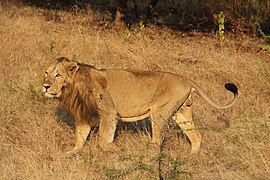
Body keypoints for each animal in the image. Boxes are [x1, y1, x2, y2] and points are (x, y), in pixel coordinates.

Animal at [43, 57, 237, 154]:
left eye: (57, 75)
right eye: (46, 73)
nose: (45, 86)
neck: (72, 89)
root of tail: (186, 79)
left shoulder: (109, 112)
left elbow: (103, 140)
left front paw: (117, 149)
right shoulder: (83, 115)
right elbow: (80, 137)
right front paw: (70, 153)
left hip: (159, 112)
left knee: (157, 140)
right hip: (182, 112)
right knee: (196, 136)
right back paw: (192, 157)